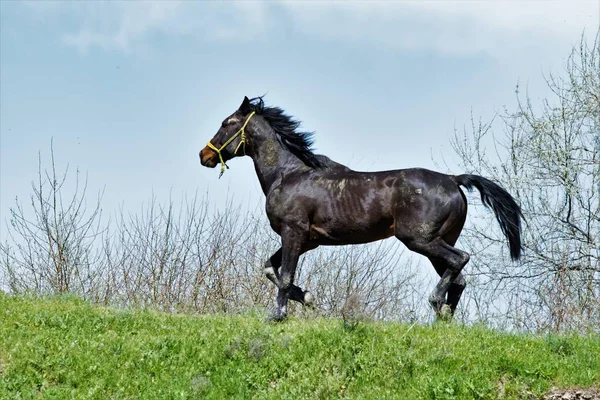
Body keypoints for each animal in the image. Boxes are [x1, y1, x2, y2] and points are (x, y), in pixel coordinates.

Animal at [199, 95, 524, 320]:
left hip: (420, 239)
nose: (205, 156)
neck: (288, 174)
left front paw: (278, 315)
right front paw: (307, 297)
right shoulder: (307, 241)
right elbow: (269, 268)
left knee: (460, 261)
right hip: (438, 240)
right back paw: (443, 320)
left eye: (227, 123)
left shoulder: (293, 233)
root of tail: (453, 180)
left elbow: (285, 275)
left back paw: (435, 304)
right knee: (458, 279)